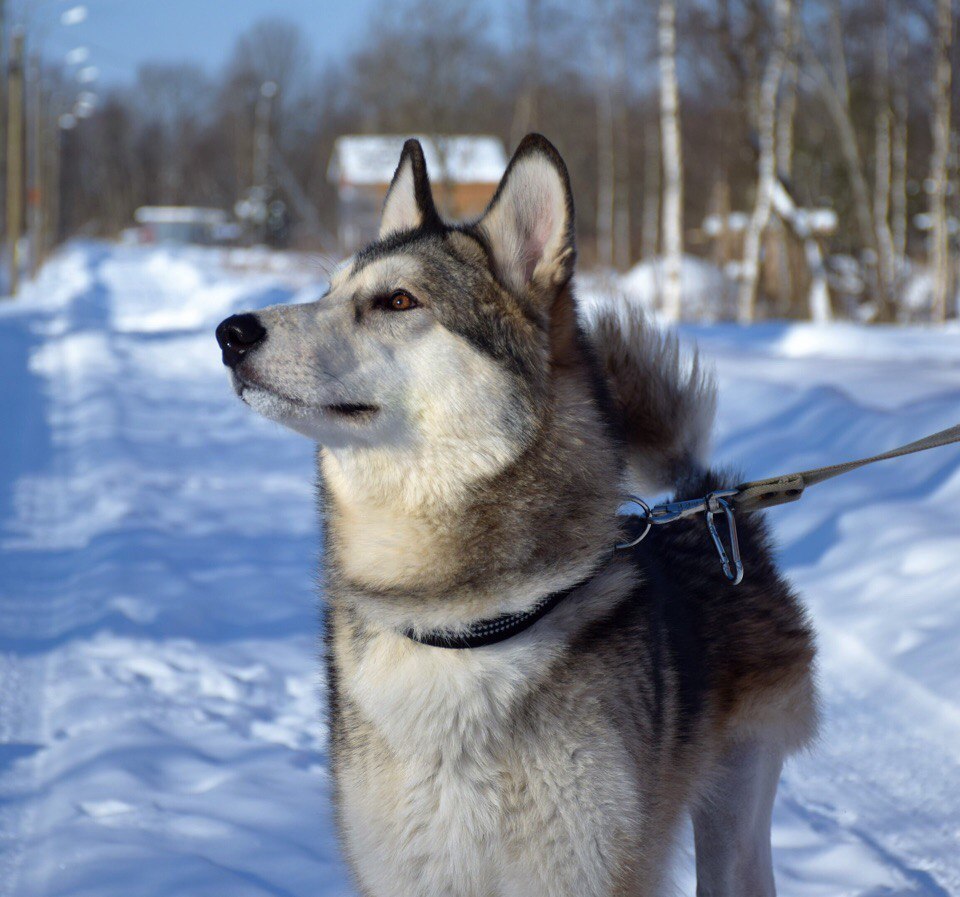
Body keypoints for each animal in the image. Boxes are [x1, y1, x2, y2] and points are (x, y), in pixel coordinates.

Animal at [218, 135, 816, 896]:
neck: (458, 625)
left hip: (735, 819)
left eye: (397, 300)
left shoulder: (587, 869)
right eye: (330, 291)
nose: (230, 332)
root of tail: (706, 503)